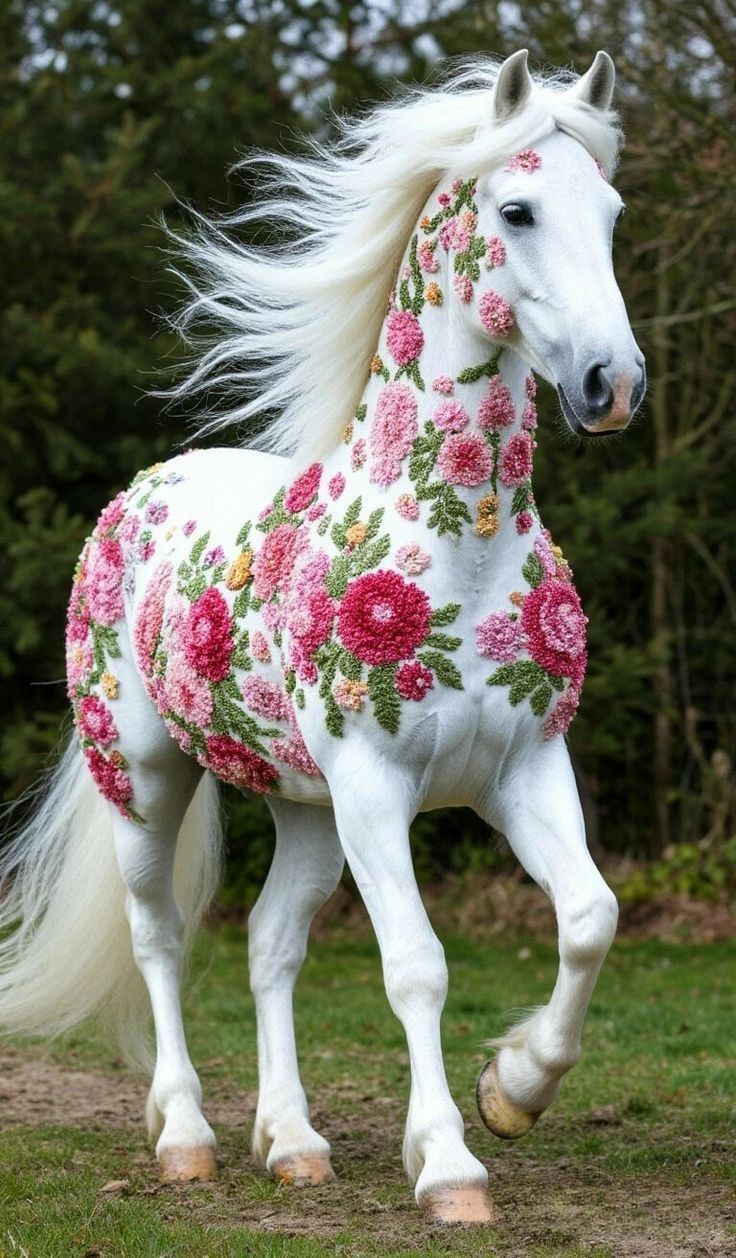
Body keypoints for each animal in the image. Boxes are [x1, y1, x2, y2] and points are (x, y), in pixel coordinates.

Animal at [0, 49, 645, 1224]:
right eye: (517, 209)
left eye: (613, 212)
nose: (609, 385)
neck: (455, 546)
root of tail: (137, 496)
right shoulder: (377, 788)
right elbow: (417, 965)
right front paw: (448, 1165)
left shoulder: (524, 770)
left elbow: (589, 916)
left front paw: (513, 1089)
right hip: (148, 782)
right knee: (162, 938)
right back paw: (189, 1137)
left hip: (302, 808)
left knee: (270, 944)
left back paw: (292, 1141)